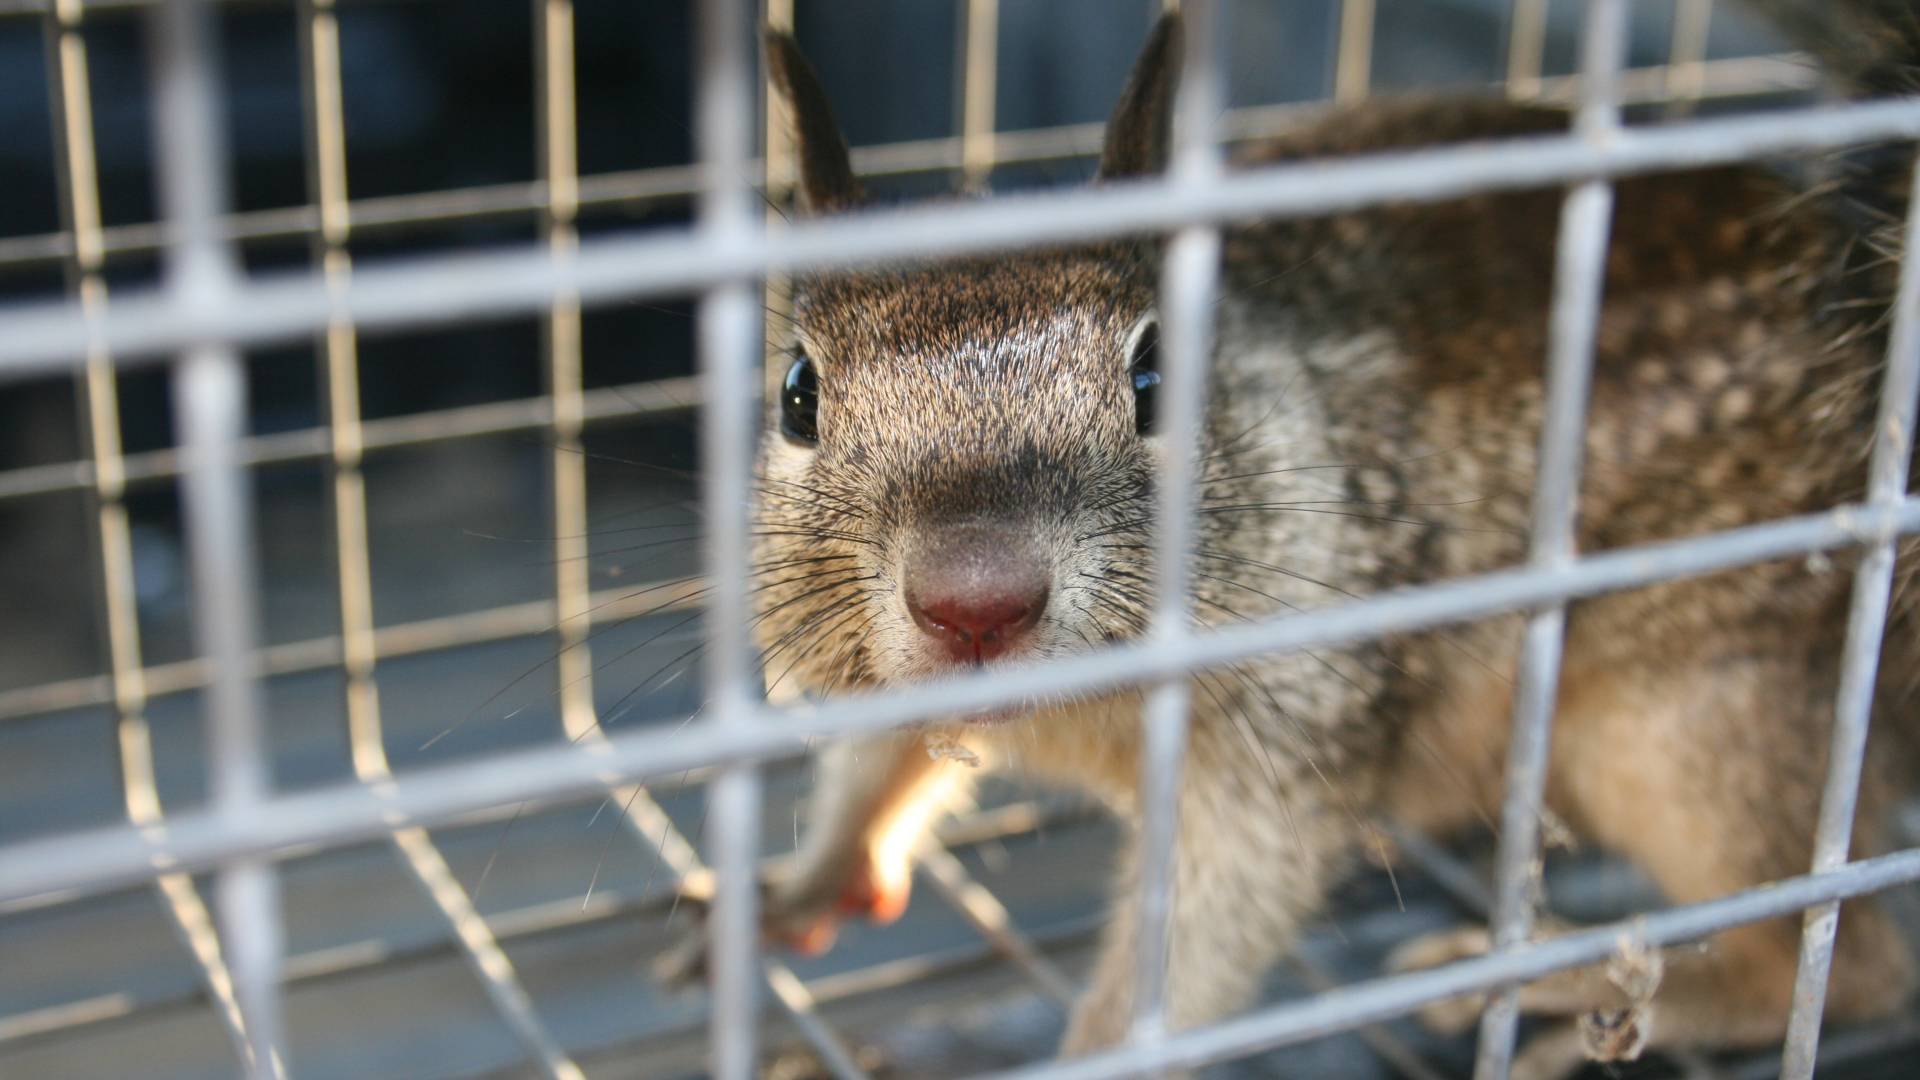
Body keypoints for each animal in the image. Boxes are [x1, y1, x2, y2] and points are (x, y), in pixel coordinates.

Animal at [664, 2, 1920, 1076]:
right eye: (796, 395)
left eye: (1156, 377)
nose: (978, 599)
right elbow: (870, 768)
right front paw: (803, 882)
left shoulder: (1287, 735)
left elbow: (1202, 937)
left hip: (1696, 718)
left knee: (1842, 964)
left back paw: (1578, 988)